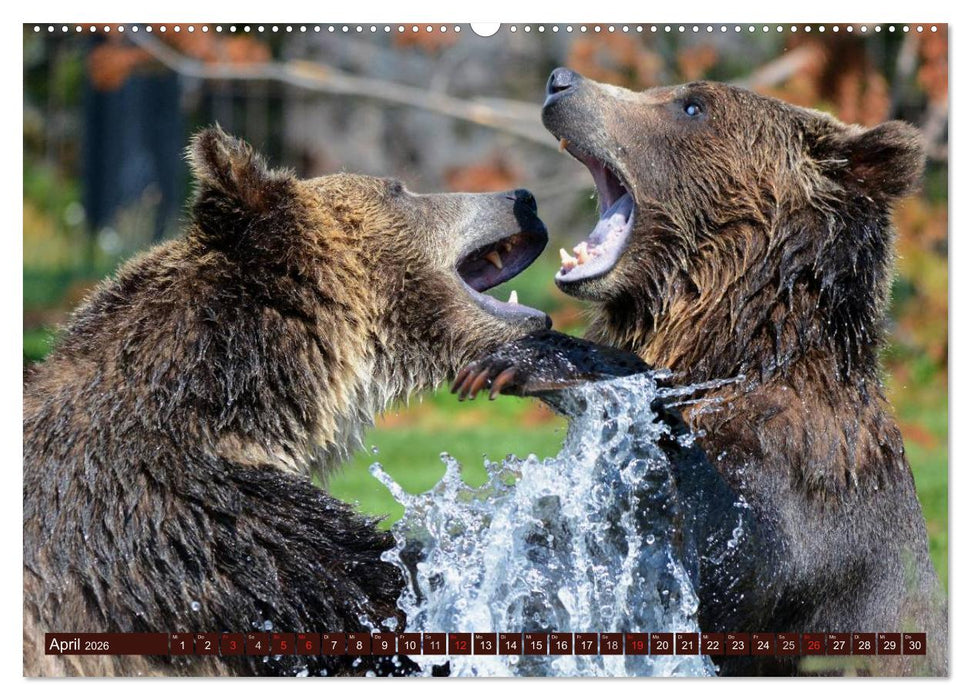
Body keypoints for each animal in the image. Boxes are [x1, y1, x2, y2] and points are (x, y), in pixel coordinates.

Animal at [453, 69, 946, 676]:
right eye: (662, 91)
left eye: (692, 106)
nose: (562, 82)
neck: (736, 349)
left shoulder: (809, 485)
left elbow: (726, 552)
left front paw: (524, 361)